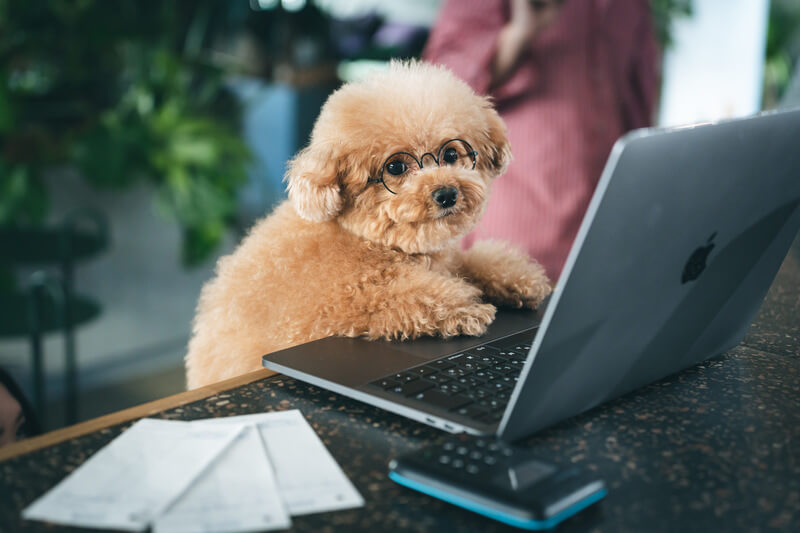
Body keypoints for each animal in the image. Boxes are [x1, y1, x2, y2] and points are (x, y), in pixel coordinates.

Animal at [186, 60, 552, 388]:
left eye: (450, 155)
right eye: (395, 168)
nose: (447, 193)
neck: (369, 242)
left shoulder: (445, 260)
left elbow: (474, 261)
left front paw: (520, 279)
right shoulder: (345, 302)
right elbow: (404, 296)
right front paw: (464, 307)